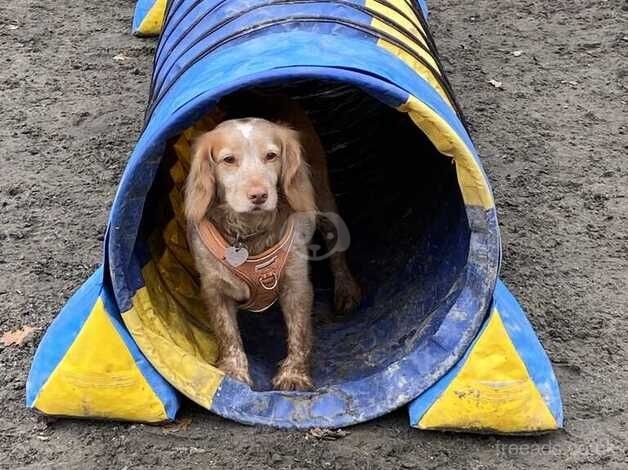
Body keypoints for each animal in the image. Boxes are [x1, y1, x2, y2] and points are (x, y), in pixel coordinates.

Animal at [184, 95, 360, 390]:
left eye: (271, 155)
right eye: (228, 160)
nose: (259, 195)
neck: (249, 234)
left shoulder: (297, 284)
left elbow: (299, 332)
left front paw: (294, 375)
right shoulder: (214, 288)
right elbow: (228, 335)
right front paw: (234, 374)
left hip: (323, 202)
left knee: (337, 253)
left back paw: (346, 290)